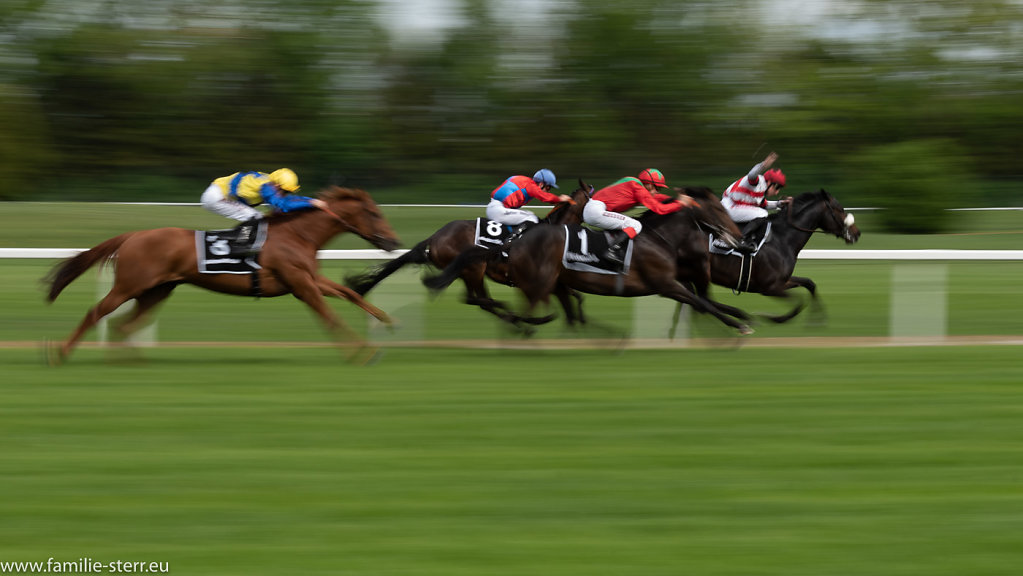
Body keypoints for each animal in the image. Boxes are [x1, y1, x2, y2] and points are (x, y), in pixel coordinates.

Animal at [45, 187, 403, 362]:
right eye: (374, 213)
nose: (394, 242)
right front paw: (361, 351)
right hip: (130, 285)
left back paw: (127, 360)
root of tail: (132, 236)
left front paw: (385, 320)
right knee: (97, 313)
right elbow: (330, 317)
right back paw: (61, 353)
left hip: (157, 290)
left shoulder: (309, 279)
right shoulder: (301, 285)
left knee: (123, 324)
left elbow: (350, 293)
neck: (297, 235)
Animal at [347, 182, 593, 327]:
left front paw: (581, 319)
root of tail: (435, 237)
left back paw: (510, 317)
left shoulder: (554, 279)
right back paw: (510, 315)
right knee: (479, 300)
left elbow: (576, 295)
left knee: (475, 299)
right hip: (474, 268)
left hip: (464, 272)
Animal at [423, 187, 752, 335]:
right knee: (498, 303)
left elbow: (704, 301)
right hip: (505, 276)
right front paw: (739, 324)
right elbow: (703, 302)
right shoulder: (666, 284)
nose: (743, 240)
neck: (659, 239)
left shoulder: (675, 283)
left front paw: (741, 316)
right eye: (720, 210)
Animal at [707, 189, 859, 325]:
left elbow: (809, 283)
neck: (782, 239)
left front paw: (817, 318)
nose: (857, 233)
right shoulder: (769, 288)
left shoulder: (782, 281)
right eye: (840, 209)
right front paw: (772, 318)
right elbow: (799, 302)